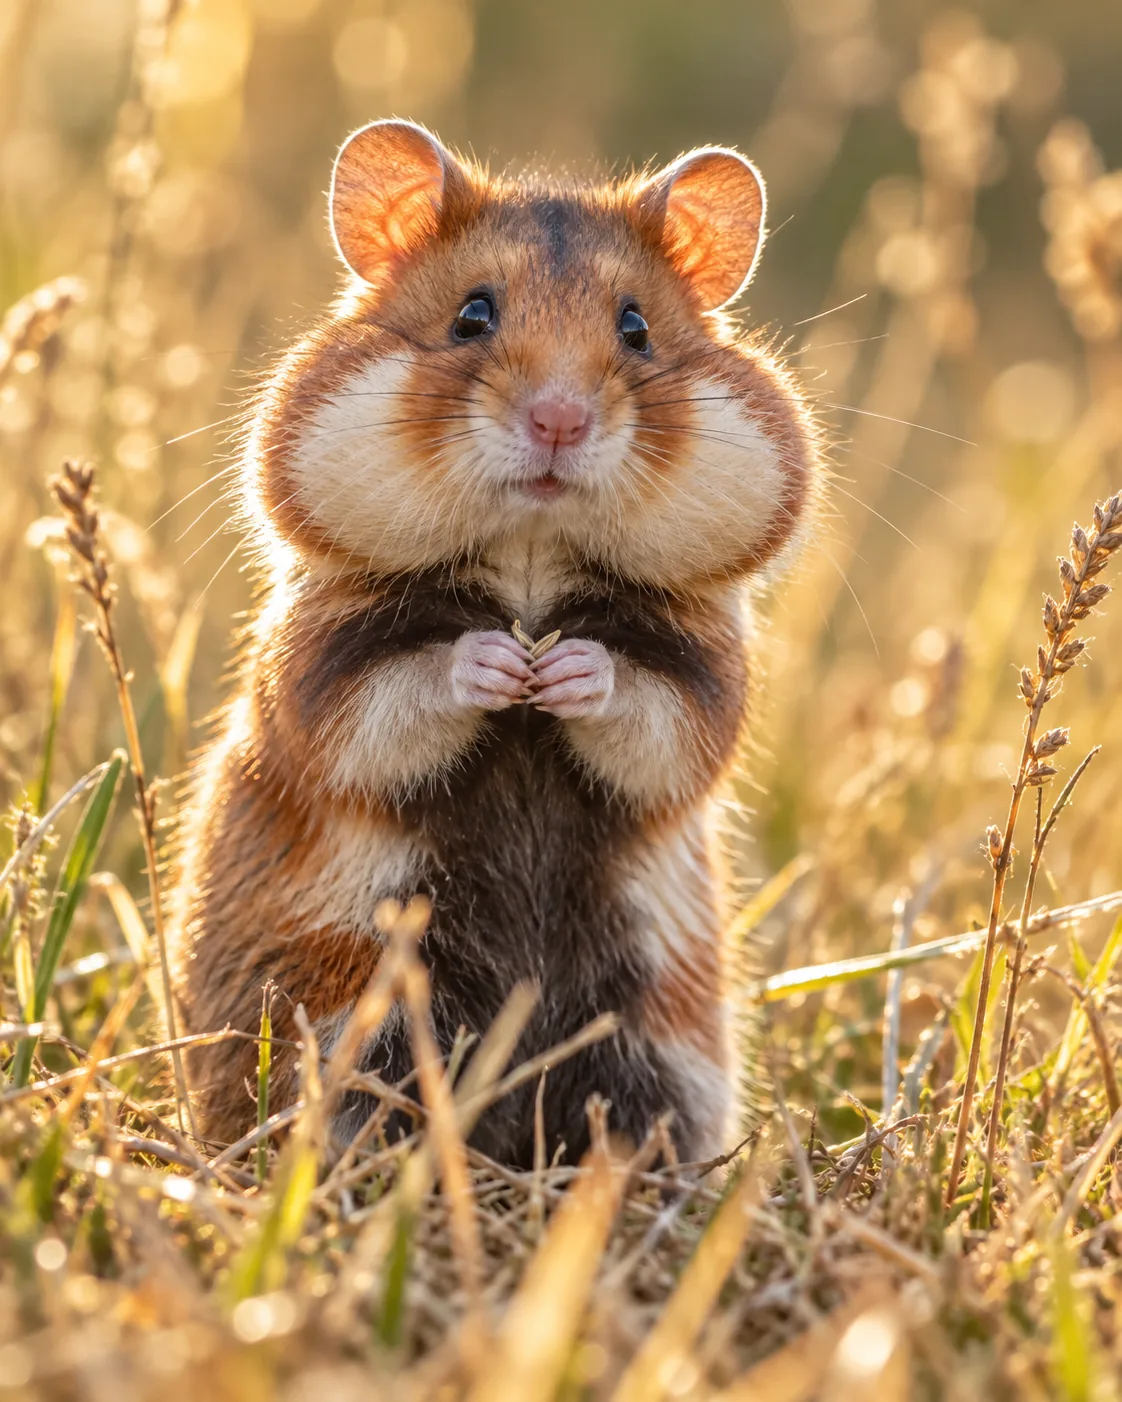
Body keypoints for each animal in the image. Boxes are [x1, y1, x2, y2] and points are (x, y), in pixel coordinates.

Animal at [168, 119, 817, 1165]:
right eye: (473, 315)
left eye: (636, 330)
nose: (559, 420)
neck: (530, 559)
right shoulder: (315, 679)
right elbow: (405, 692)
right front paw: (505, 666)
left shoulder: (708, 688)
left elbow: (649, 712)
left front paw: (560, 671)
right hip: (355, 1028)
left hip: (650, 1054)